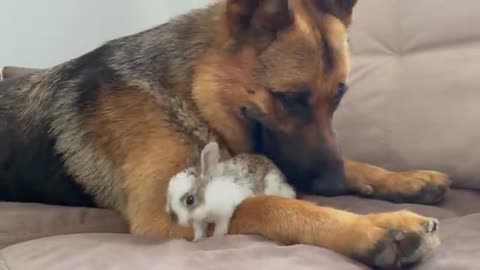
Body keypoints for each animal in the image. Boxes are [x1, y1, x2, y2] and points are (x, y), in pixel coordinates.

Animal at [0, 0, 450, 268]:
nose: (333, 186)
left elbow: (351, 161)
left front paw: (406, 179)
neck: (187, 93)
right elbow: (267, 205)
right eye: (290, 98)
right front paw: (369, 227)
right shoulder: (163, 218)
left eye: (339, 96)